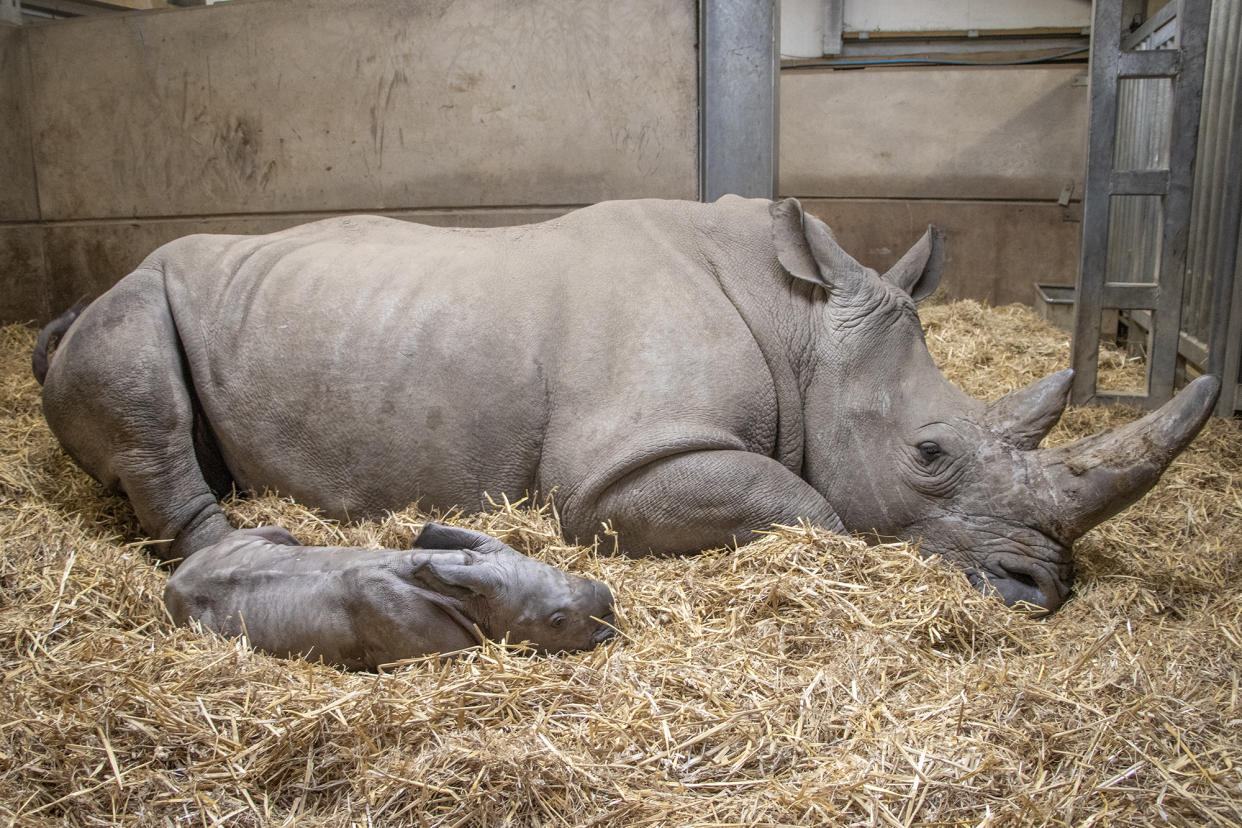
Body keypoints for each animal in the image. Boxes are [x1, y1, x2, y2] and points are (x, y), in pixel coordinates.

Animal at [36, 197, 1212, 618]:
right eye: (931, 453)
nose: (1040, 590)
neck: (800, 328)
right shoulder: (623, 465)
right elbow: (813, 508)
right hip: (137, 298)